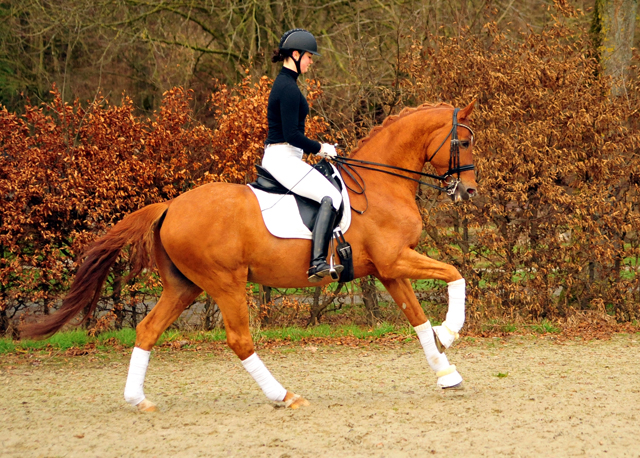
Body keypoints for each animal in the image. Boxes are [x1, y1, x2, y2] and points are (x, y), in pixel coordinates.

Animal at [22, 100, 478, 412]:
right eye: (465, 141)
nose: (470, 191)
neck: (381, 184)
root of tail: (170, 206)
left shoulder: (387, 268)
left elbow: (417, 319)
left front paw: (446, 370)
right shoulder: (395, 259)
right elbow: (455, 273)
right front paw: (451, 330)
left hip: (184, 287)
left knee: (148, 330)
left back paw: (138, 399)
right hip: (226, 283)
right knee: (240, 340)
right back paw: (284, 395)